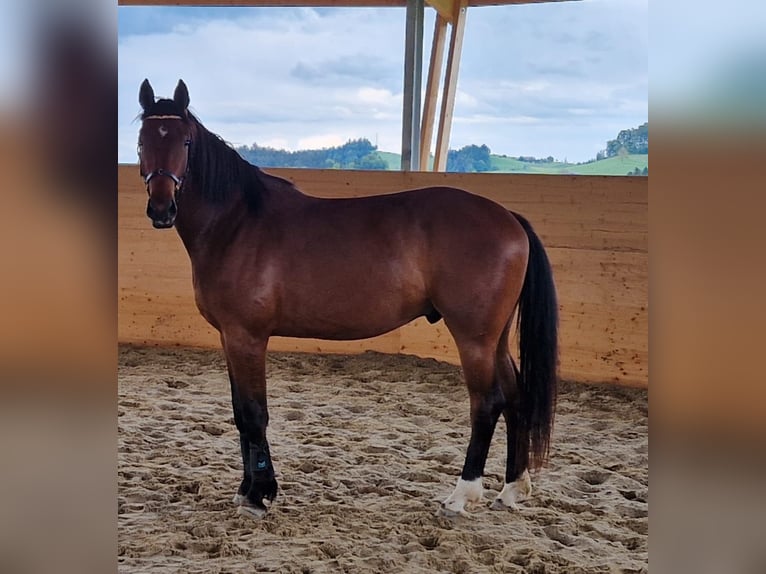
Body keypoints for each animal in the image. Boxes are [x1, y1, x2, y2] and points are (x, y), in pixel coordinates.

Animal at [136, 78, 558, 520]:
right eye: (142, 141)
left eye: (185, 141)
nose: (162, 208)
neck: (237, 223)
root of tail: (509, 218)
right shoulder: (228, 337)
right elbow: (239, 414)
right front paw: (246, 489)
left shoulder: (246, 337)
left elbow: (254, 415)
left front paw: (258, 495)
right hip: (494, 338)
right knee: (515, 397)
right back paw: (512, 488)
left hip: (473, 338)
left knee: (487, 403)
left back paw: (463, 494)